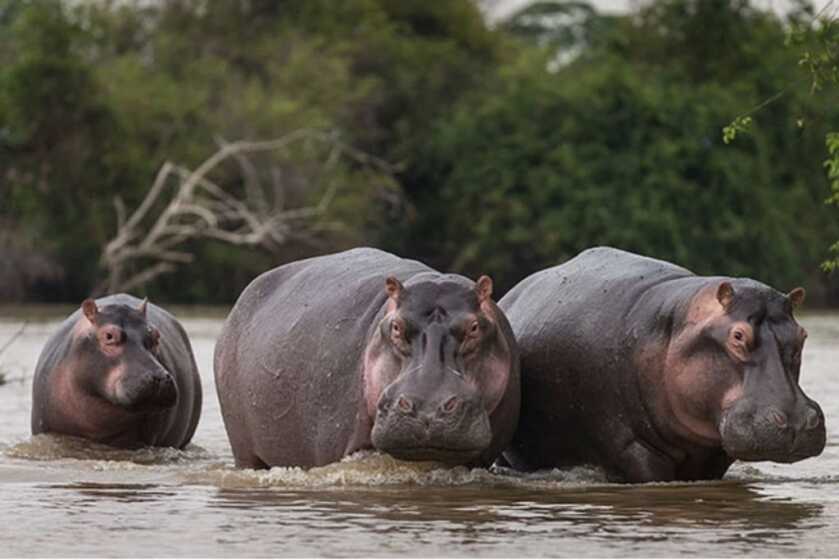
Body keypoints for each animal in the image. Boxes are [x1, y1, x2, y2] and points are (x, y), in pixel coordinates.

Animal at [499, 247, 826, 482]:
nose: (797, 421)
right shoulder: (630, 446)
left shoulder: (715, 454)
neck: (676, 324)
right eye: (737, 336)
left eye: (802, 334)